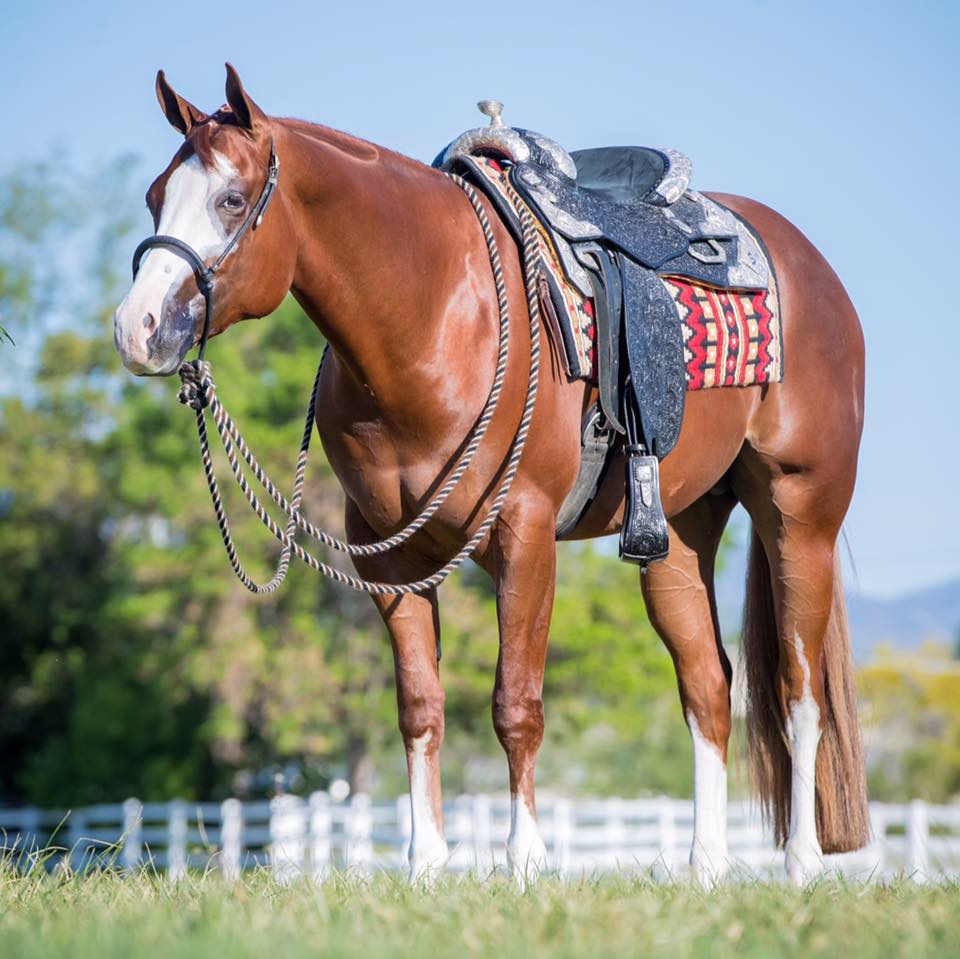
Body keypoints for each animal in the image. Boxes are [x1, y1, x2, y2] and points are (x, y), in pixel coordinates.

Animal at [112, 65, 872, 884]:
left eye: (230, 198)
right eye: (155, 196)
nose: (136, 329)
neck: (436, 312)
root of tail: (807, 266)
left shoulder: (524, 535)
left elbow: (516, 703)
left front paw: (526, 861)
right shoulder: (390, 556)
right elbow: (419, 706)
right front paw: (424, 866)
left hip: (799, 512)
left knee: (799, 691)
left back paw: (800, 864)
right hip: (680, 532)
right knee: (708, 687)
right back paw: (704, 870)